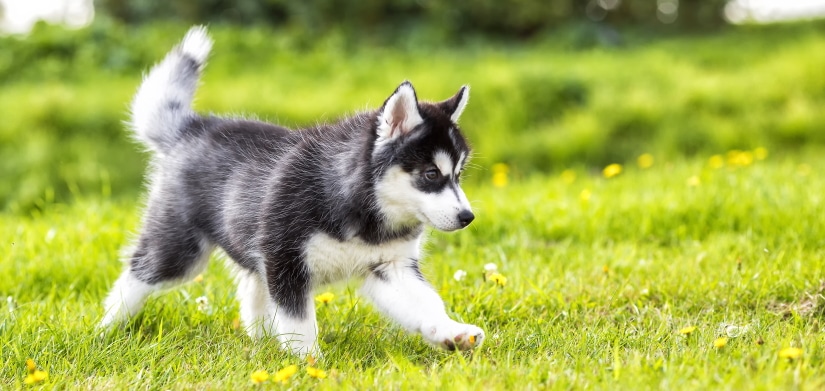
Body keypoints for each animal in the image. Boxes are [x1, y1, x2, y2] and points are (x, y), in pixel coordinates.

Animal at [100, 26, 482, 356]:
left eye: (458, 175)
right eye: (431, 174)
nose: (468, 217)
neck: (362, 208)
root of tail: (194, 125)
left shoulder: (389, 265)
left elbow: (425, 302)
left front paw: (451, 331)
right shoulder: (286, 261)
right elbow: (298, 321)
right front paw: (309, 362)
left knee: (251, 286)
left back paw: (260, 342)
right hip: (180, 248)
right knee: (139, 272)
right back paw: (107, 328)